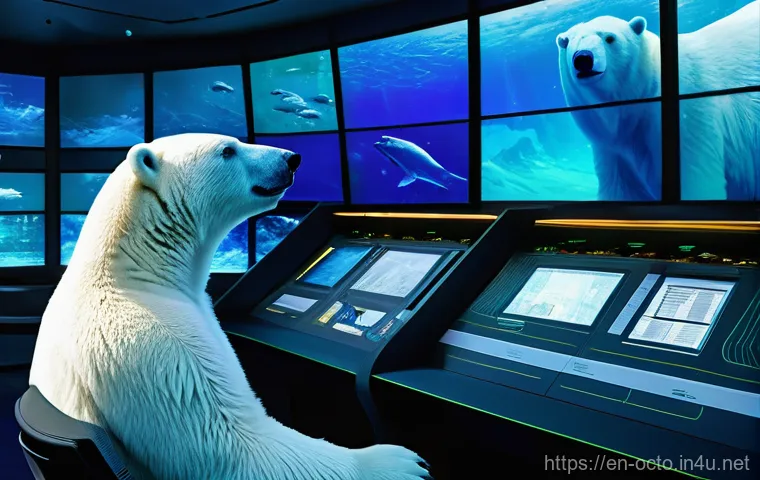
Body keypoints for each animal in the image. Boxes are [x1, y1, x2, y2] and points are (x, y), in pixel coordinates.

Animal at [29, 133, 429, 480]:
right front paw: (396, 462)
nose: (292, 158)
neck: (133, 269)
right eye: (227, 150)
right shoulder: (149, 345)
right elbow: (232, 446)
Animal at [556, 3, 760, 201]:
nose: (583, 58)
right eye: (570, 42)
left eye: (609, 38)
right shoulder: (613, 148)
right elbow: (621, 189)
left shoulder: (692, 118)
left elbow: (697, 180)